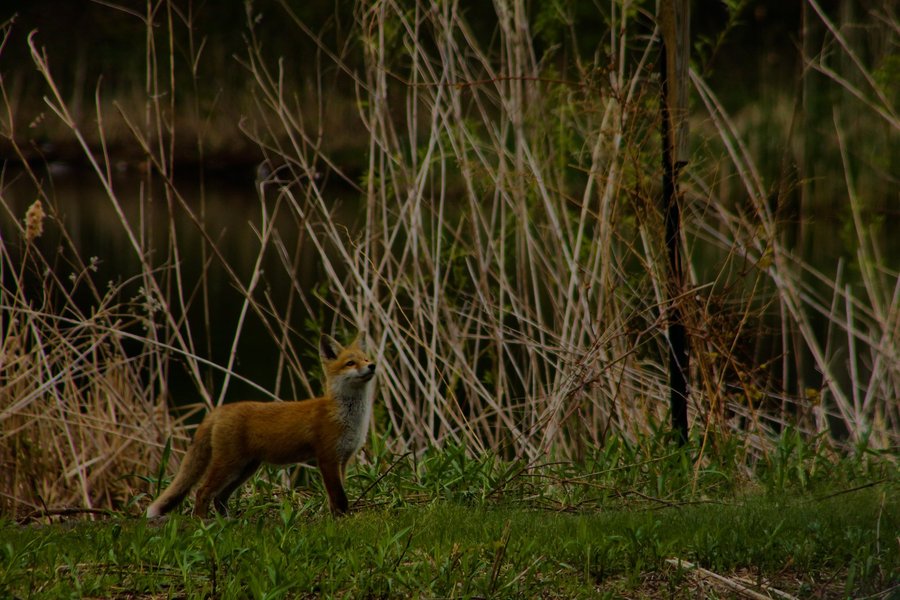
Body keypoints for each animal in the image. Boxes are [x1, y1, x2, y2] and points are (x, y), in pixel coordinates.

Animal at [146, 333, 377, 518]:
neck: (348, 417)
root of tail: (220, 409)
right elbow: (339, 498)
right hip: (229, 464)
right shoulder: (327, 458)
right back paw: (202, 523)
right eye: (350, 363)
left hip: (245, 468)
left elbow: (338, 496)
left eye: (365, 359)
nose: (372, 365)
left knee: (219, 497)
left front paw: (338, 518)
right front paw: (340, 520)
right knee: (203, 492)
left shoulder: (343, 460)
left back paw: (227, 523)